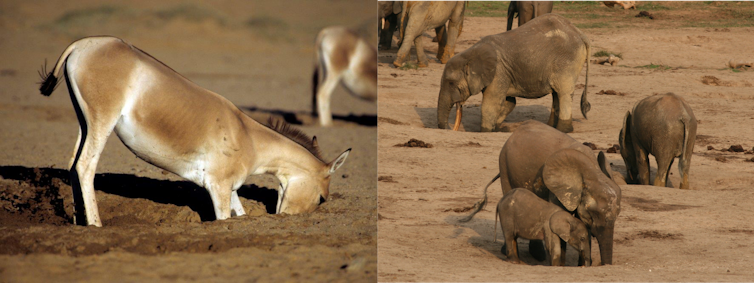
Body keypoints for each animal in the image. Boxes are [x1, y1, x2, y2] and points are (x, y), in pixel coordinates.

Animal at [462, 121, 620, 266]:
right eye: (594, 213)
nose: (604, 265)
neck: (591, 170)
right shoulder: (556, 189)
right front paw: (562, 265)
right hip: (504, 164)